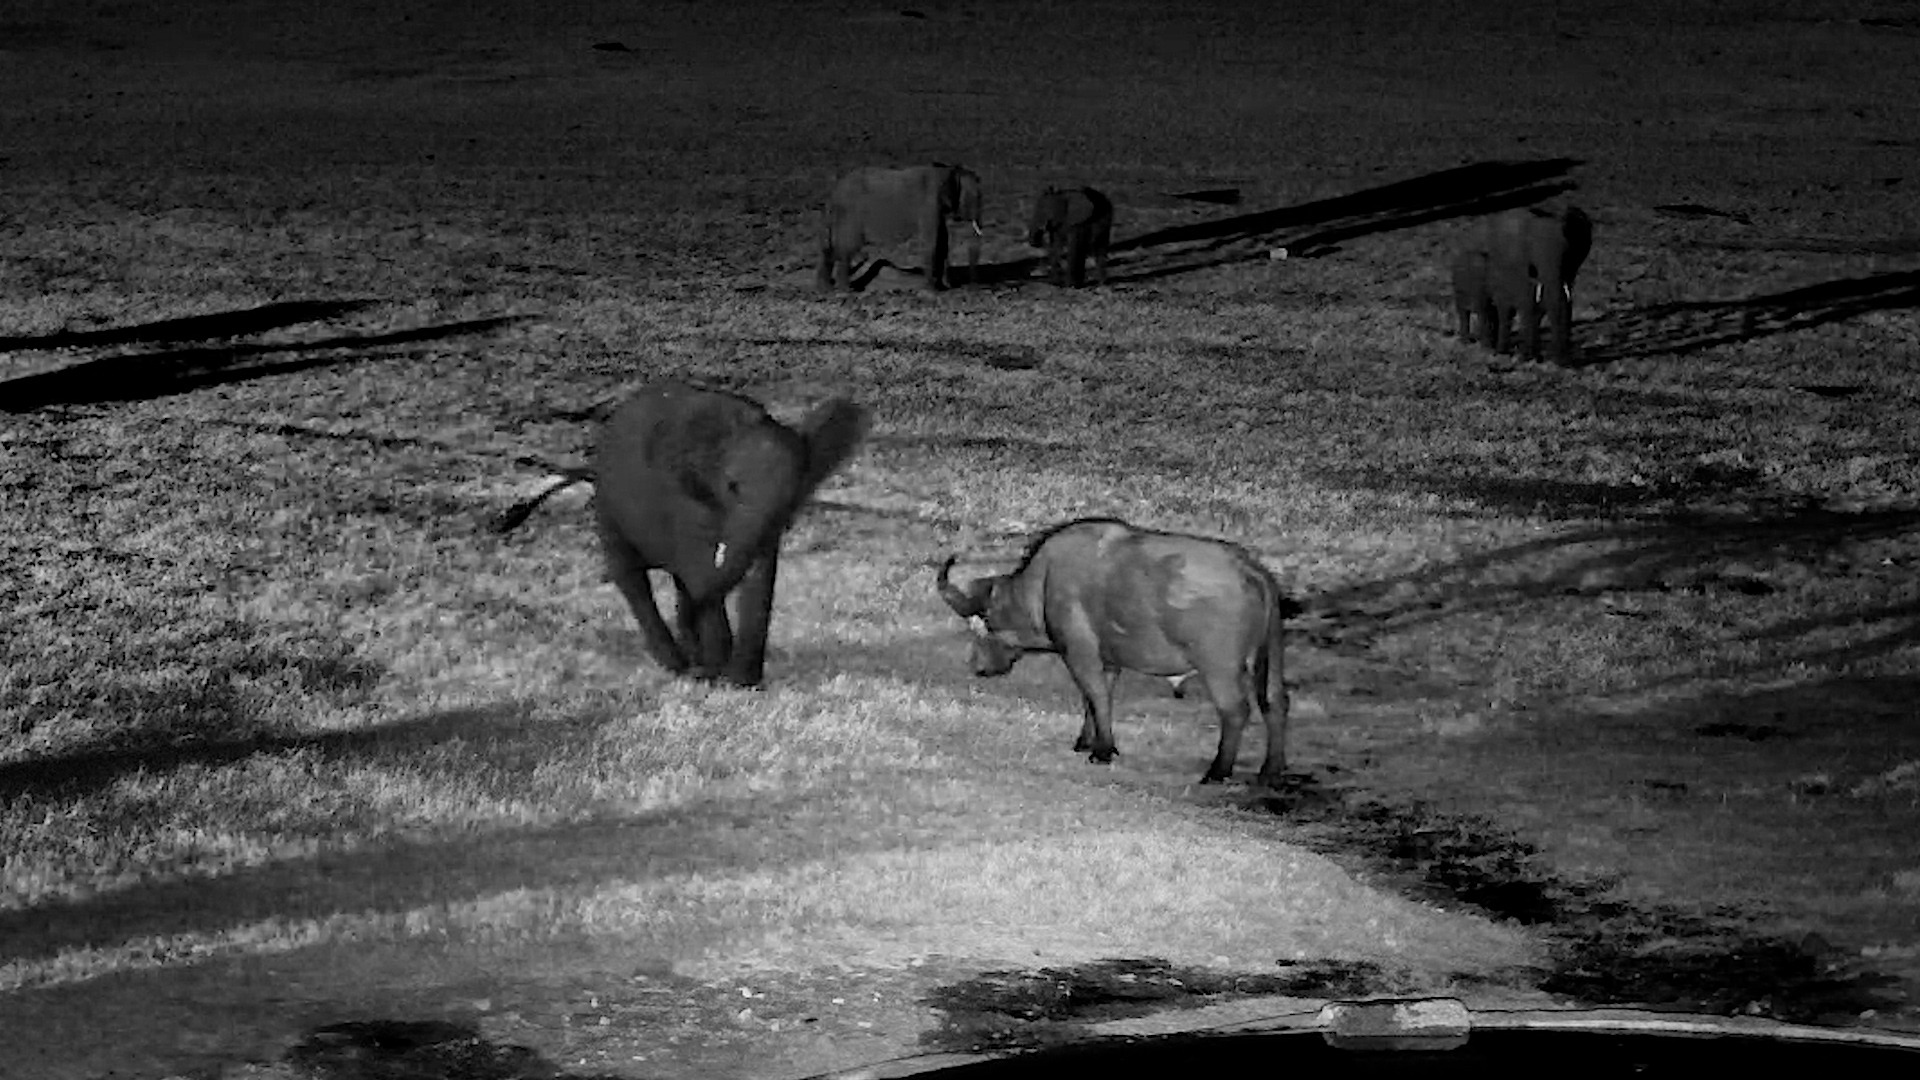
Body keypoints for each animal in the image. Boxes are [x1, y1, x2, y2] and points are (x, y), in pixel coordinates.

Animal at [817, 163, 983, 292]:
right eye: (975, 197)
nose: (971, 288)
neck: (948, 170)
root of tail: (833, 194)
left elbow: (942, 242)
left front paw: (943, 287)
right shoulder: (929, 205)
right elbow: (932, 243)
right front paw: (932, 290)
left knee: (830, 249)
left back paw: (826, 289)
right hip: (851, 215)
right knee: (848, 247)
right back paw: (846, 290)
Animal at [937, 517, 1302, 787]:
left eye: (984, 622)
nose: (977, 665)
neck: (1043, 583)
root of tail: (1251, 570)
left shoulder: (1079, 653)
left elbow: (1095, 694)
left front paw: (1103, 750)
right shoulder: (1107, 660)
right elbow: (1095, 699)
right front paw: (1087, 741)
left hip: (1219, 668)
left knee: (1236, 710)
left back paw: (1217, 771)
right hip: (1269, 657)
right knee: (1275, 703)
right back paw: (1271, 770)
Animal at [1452, 204, 1594, 364]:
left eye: (1567, 256)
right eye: (1534, 260)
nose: (1562, 362)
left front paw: (1532, 357)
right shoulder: (1516, 267)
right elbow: (1527, 305)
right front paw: (1526, 357)